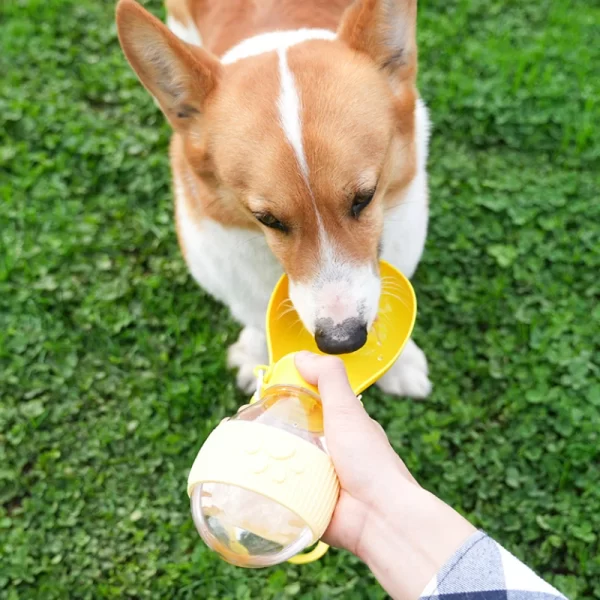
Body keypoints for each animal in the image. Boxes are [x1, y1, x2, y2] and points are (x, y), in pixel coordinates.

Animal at [115, 0, 432, 398]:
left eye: (365, 197)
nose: (342, 341)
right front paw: (256, 354)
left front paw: (400, 362)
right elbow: (253, 311)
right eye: (267, 219)